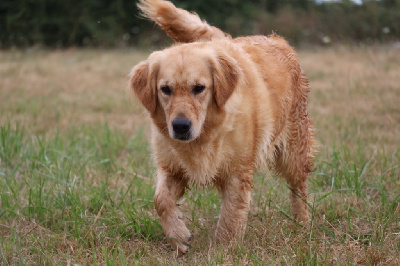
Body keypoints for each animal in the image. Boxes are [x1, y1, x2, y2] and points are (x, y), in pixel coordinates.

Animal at [130, 0, 314, 254]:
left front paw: (223, 251)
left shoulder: (238, 172)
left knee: (299, 188)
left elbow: (230, 217)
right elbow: (161, 200)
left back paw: (302, 224)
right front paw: (178, 235)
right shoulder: (172, 168)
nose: (180, 126)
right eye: (165, 89)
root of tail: (278, 40)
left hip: (294, 153)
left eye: (199, 88)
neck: (207, 134)